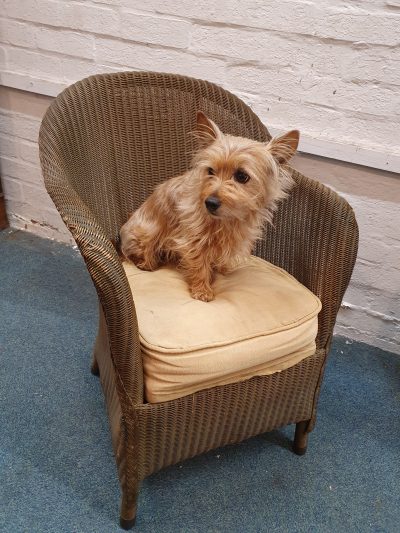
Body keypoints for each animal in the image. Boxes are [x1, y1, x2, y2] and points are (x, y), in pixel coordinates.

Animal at [120, 111, 298, 300]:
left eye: (242, 176)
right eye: (210, 171)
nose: (210, 202)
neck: (226, 220)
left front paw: (221, 268)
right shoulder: (194, 237)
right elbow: (199, 262)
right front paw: (202, 290)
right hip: (146, 232)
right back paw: (147, 263)